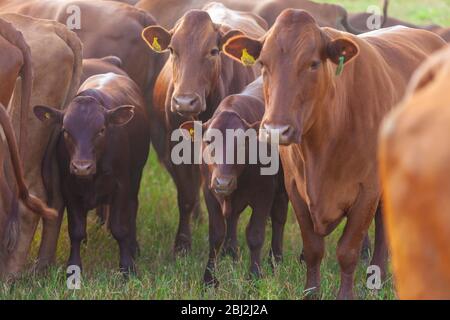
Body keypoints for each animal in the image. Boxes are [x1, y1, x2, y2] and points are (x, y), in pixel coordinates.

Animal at [142, 5, 264, 254]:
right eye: (172, 49)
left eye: (213, 51)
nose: (185, 102)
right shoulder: (175, 150)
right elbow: (187, 196)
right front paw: (182, 244)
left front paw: (230, 247)